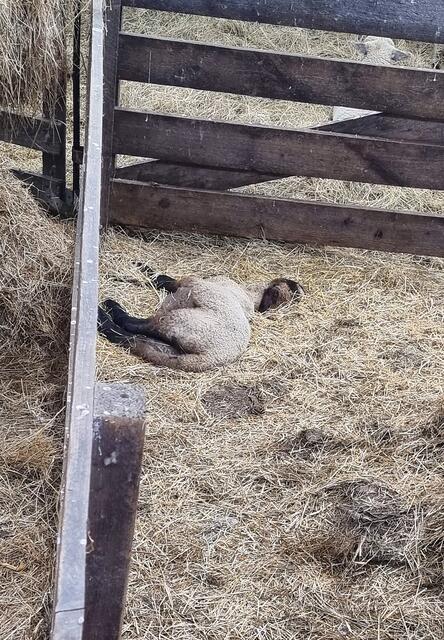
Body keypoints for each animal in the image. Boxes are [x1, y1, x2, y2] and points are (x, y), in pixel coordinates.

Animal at [98, 272, 304, 372]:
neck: (250, 295)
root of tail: (210, 358)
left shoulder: (191, 284)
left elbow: (167, 281)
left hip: (179, 320)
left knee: (134, 327)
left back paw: (107, 311)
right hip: (173, 349)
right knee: (136, 341)